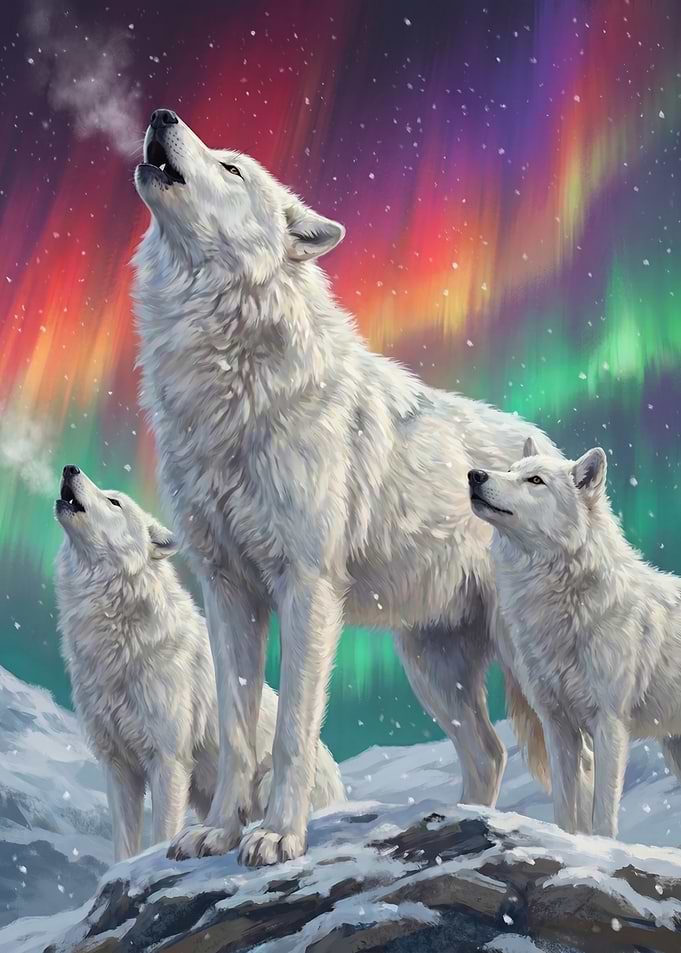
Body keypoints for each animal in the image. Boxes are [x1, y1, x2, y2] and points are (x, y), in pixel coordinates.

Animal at [54, 465, 344, 862]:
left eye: (114, 502)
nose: (70, 468)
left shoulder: (168, 760)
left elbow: (161, 832)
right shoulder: (117, 766)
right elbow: (124, 849)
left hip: (267, 781)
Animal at [132, 107, 556, 867]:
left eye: (232, 167)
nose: (161, 115)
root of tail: (553, 454)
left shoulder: (305, 585)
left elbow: (290, 731)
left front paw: (277, 835)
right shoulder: (225, 589)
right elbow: (237, 728)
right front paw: (217, 832)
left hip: (524, 660)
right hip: (431, 665)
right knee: (488, 752)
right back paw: (467, 823)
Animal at [469, 439, 681, 838]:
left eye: (535, 481)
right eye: (510, 469)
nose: (474, 474)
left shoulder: (610, 724)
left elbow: (603, 816)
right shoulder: (557, 724)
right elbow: (565, 808)